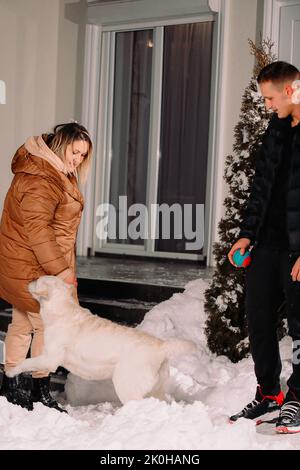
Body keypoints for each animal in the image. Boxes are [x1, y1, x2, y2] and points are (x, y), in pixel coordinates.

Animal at [7, 276, 197, 404]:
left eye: (37, 280)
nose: (27, 280)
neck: (62, 310)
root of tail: (161, 345)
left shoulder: (49, 360)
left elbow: (26, 362)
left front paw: (11, 371)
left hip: (126, 385)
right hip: (156, 390)